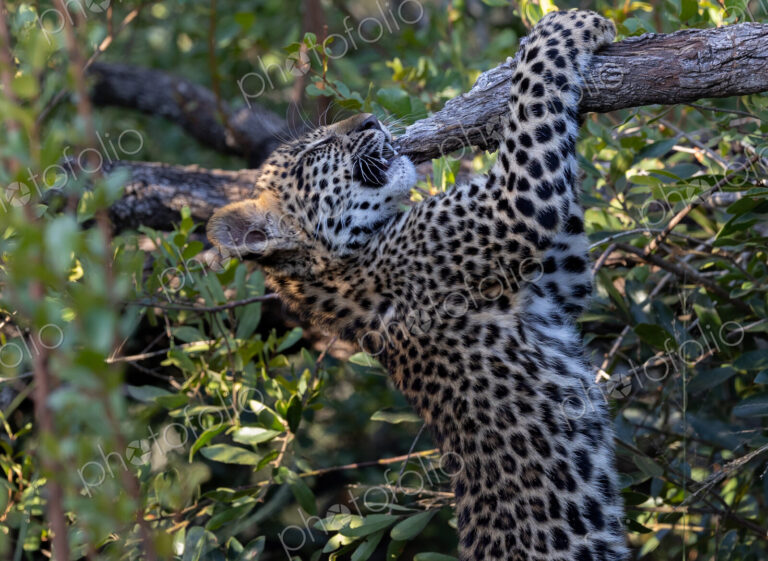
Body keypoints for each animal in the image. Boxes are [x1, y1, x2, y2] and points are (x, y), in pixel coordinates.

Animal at [208, 10, 628, 561]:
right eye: (317, 149)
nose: (369, 120)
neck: (347, 262)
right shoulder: (510, 206)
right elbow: (532, 103)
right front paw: (567, 26)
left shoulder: (560, 279)